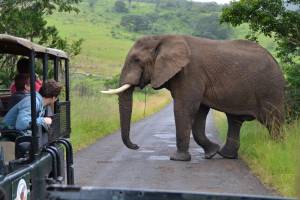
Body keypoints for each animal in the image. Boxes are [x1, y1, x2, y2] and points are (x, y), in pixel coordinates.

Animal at [102, 34, 284, 161]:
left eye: (136, 59)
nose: (136, 146)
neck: (162, 38)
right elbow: (199, 113)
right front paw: (211, 153)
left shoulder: (190, 74)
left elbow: (184, 108)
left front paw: (177, 159)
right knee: (235, 120)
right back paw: (226, 155)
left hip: (271, 89)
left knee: (273, 122)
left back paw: (278, 150)